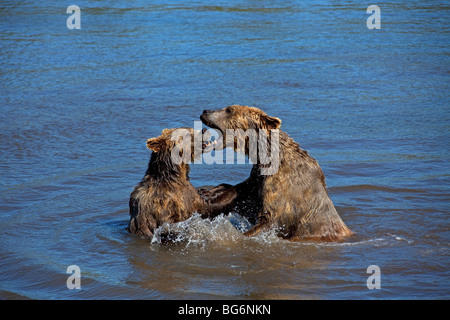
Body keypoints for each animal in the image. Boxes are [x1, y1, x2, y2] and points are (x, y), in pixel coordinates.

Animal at [200, 104, 352, 241]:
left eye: (229, 110)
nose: (205, 111)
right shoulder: (257, 178)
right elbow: (238, 192)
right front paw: (207, 193)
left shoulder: (283, 190)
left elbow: (270, 220)